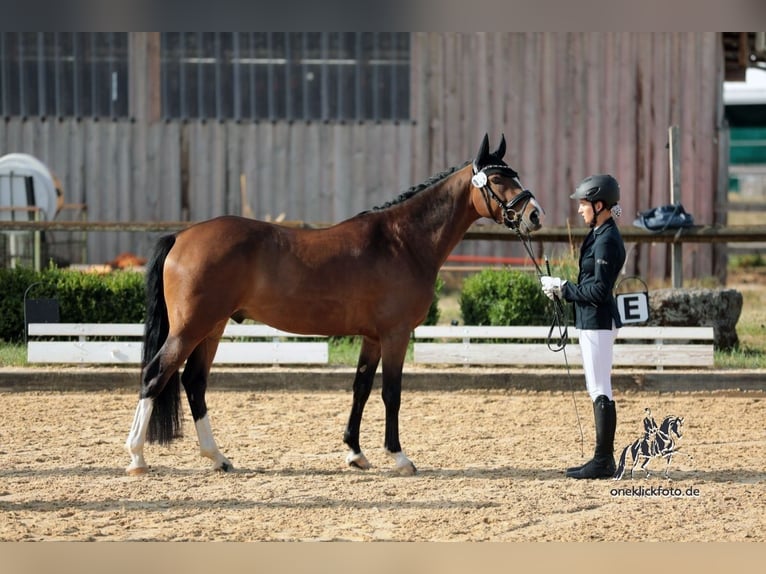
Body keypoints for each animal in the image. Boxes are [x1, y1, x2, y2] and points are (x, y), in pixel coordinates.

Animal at [124, 133, 543, 476]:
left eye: (516, 175)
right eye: (497, 180)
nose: (535, 214)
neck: (403, 241)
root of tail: (182, 236)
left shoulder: (372, 337)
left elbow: (360, 387)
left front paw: (355, 453)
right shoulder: (395, 335)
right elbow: (391, 393)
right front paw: (399, 456)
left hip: (212, 327)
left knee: (194, 382)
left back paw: (218, 458)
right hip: (191, 328)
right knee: (155, 374)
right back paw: (137, 457)